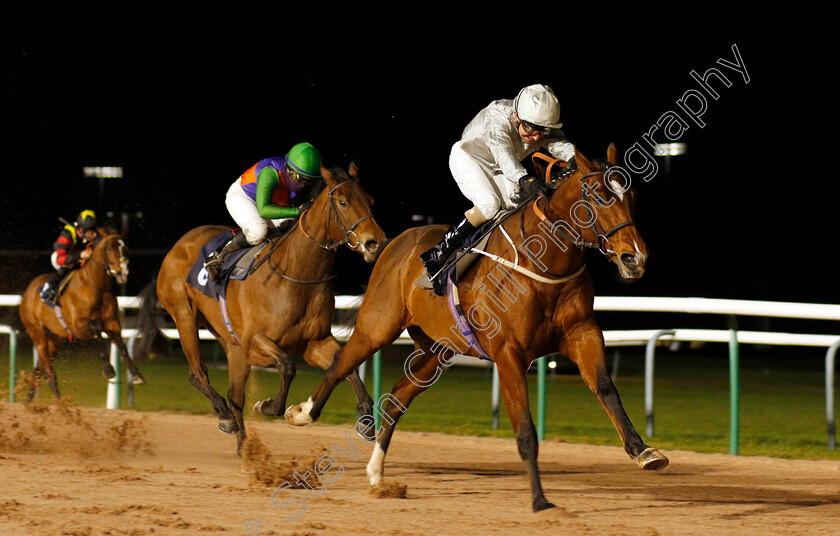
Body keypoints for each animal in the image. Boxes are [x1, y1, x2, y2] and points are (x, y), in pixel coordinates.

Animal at [18, 230, 144, 402]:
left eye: (126, 248)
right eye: (109, 248)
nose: (122, 272)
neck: (97, 286)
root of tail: (27, 293)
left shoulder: (112, 323)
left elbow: (122, 346)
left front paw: (137, 375)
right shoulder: (78, 326)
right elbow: (97, 328)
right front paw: (109, 370)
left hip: (55, 338)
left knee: (40, 368)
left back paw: (28, 402)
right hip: (36, 332)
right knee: (49, 373)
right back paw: (61, 404)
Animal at [138, 163, 388, 452]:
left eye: (371, 200)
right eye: (343, 202)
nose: (375, 242)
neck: (297, 275)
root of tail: (177, 247)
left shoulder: (315, 343)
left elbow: (345, 366)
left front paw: (366, 421)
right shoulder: (255, 342)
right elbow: (287, 366)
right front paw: (268, 406)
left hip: (229, 339)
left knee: (235, 394)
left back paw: (245, 450)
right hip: (184, 316)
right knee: (198, 375)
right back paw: (225, 417)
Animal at [288, 146, 668, 510]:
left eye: (632, 196)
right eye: (600, 195)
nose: (635, 258)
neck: (545, 262)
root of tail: (397, 242)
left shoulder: (583, 332)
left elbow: (605, 388)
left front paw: (643, 450)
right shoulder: (509, 353)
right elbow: (525, 429)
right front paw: (540, 501)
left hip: (437, 350)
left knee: (397, 397)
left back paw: (377, 474)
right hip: (378, 326)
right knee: (341, 363)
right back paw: (303, 413)